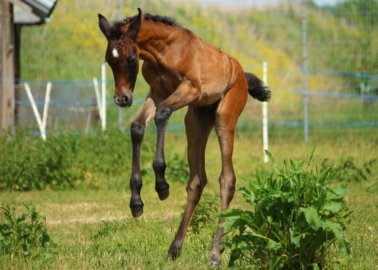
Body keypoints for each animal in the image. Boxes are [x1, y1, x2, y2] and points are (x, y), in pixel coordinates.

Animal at [97, 8, 268, 266]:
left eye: (131, 59)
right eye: (109, 60)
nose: (122, 99)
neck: (165, 51)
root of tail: (240, 72)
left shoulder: (189, 89)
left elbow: (162, 115)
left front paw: (161, 185)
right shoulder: (157, 92)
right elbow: (137, 127)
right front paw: (136, 202)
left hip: (224, 118)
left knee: (227, 179)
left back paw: (215, 254)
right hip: (196, 120)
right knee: (197, 180)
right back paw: (174, 248)